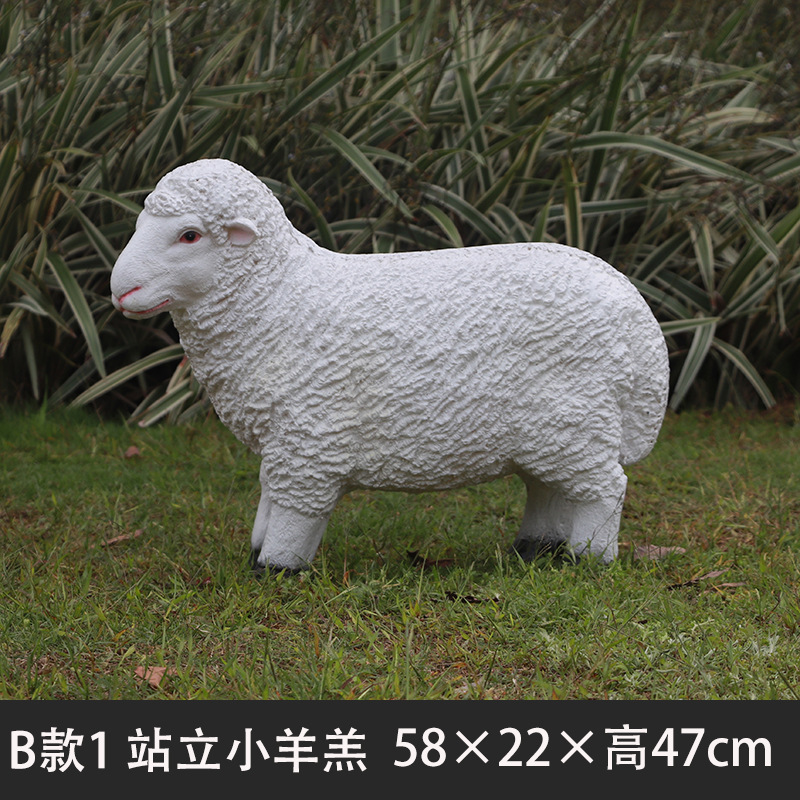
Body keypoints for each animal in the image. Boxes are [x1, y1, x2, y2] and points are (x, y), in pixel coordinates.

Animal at [110, 158, 669, 573]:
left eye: (189, 235)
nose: (120, 289)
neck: (279, 298)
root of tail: (633, 307)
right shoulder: (283, 439)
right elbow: (268, 498)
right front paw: (256, 553)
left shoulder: (310, 438)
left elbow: (296, 510)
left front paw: (277, 569)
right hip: (549, 431)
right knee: (549, 490)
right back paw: (533, 551)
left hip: (574, 418)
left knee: (605, 488)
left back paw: (589, 560)